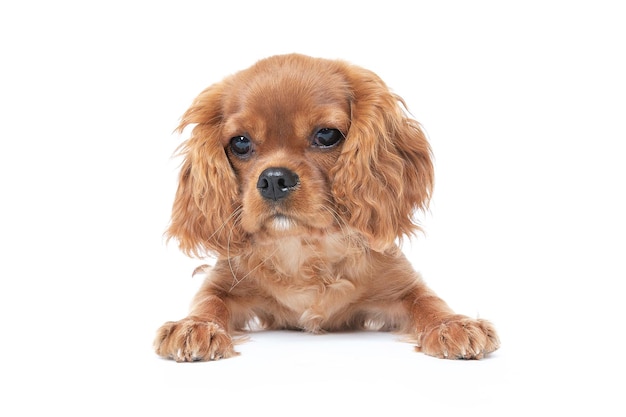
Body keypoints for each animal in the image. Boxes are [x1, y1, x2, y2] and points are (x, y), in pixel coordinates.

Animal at [154, 52, 500, 360]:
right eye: (240, 142)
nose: (273, 179)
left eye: (326, 135)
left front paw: (452, 325)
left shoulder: (401, 284)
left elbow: (427, 301)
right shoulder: (223, 282)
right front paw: (195, 326)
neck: (304, 248)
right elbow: (209, 301)